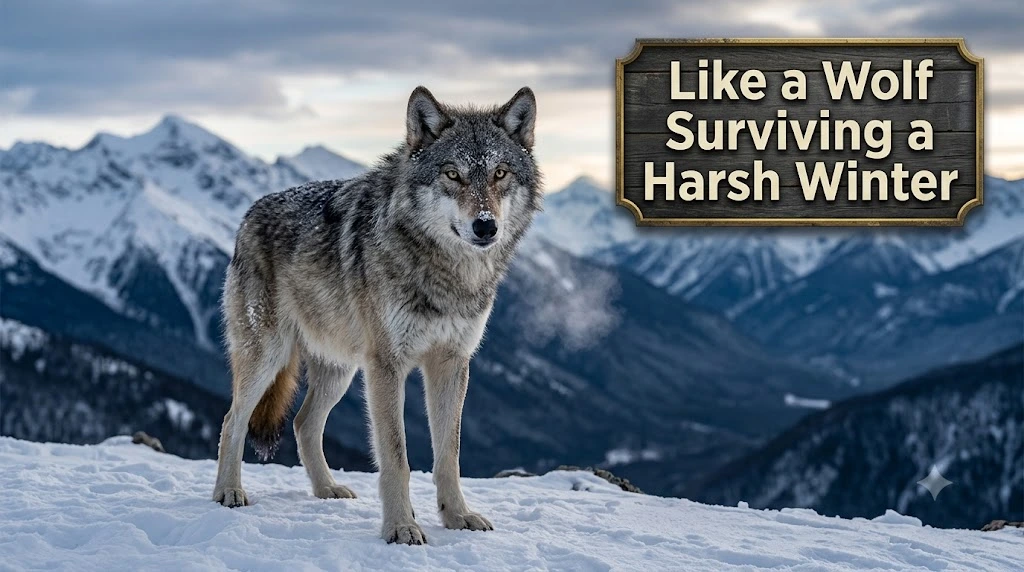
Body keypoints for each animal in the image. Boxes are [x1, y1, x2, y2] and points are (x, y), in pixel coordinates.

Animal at [212, 86, 541, 545]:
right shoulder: (387, 365)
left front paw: (457, 516)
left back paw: (327, 490)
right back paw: (228, 492)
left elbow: (449, 456)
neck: (445, 275)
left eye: (500, 173)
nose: (485, 226)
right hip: (269, 356)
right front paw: (402, 527)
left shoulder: (452, 364)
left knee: (303, 424)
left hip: (342, 370)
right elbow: (396, 458)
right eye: (452, 175)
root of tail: (248, 214)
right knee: (232, 420)